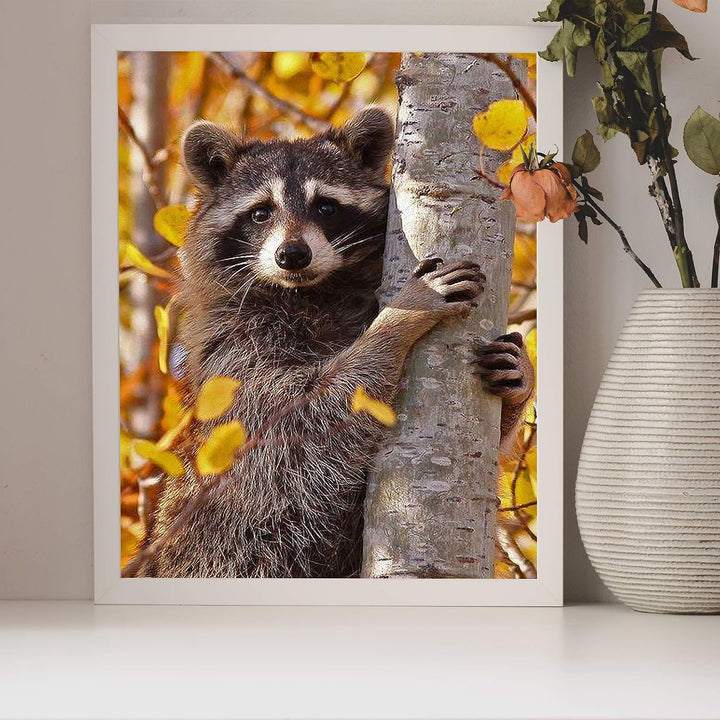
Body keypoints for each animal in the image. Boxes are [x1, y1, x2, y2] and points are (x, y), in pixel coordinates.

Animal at [138, 107, 534, 578]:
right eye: (260, 213)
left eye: (325, 207)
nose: (292, 255)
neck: (311, 292)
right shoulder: (236, 355)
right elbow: (300, 417)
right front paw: (398, 318)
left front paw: (520, 384)